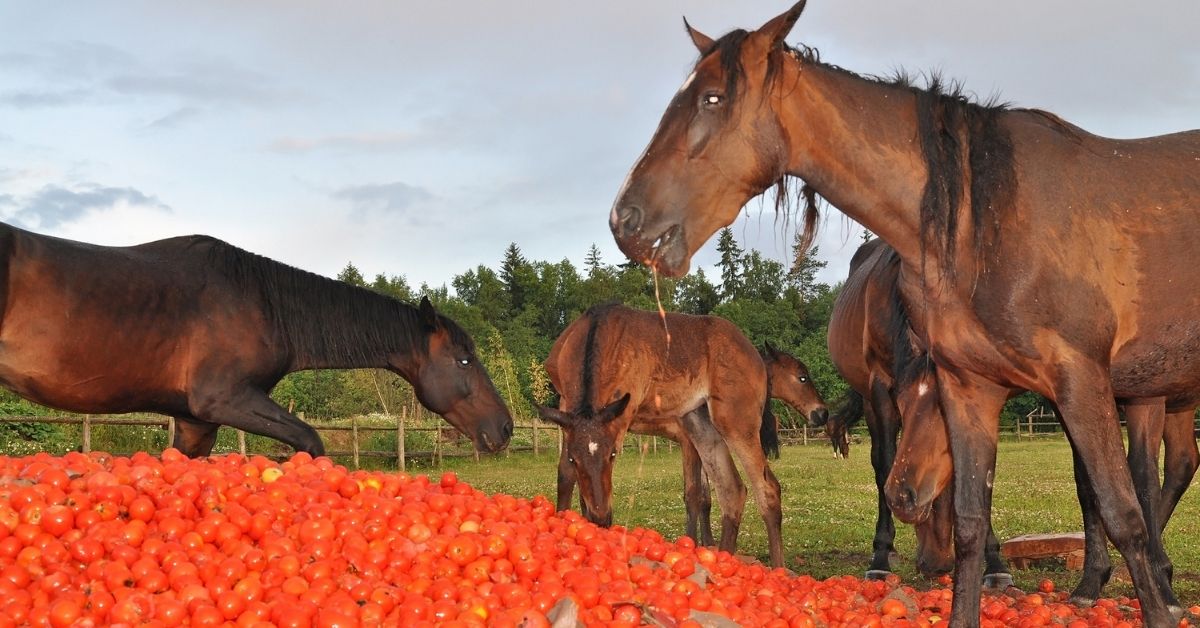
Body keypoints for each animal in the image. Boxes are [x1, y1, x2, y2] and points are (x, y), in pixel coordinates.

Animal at [0, 223, 511, 458]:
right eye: (465, 360)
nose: (504, 428)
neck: (262, 304)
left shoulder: (195, 420)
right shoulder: (223, 400)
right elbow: (310, 440)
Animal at [537, 304, 787, 569]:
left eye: (613, 455)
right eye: (574, 459)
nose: (602, 519)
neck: (597, 331)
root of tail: (755, 356)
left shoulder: (623, 413)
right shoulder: (566, 406)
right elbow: (566, 475)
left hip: (735, 420)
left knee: (767, 488)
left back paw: (778, 570)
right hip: (698, 421)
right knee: (732, 490)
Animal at [549, 338, 825, 545]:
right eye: (802, 377)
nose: (821, 413)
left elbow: (706, 498)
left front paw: (709, 543)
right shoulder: (688, 443)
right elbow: (694, 495)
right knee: (567, 473)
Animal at [609, 3, 1200, 624]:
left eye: (713, 98)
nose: (626, 219)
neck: (985, 217)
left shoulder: (1081, 381)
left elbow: (1123, 512)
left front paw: (1150, 600)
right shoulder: (971, 386)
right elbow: (969, 520)